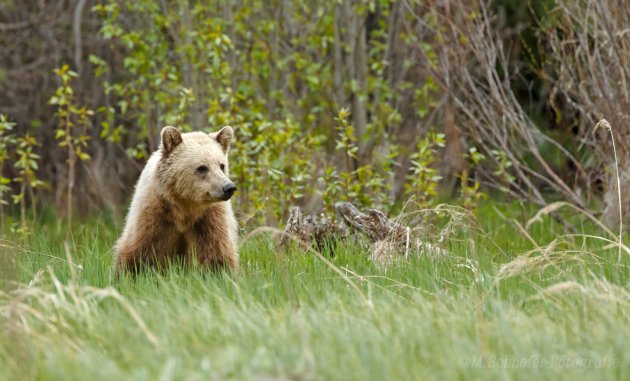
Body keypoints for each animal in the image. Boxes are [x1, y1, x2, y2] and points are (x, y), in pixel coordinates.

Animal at [113, 126, 239, 274]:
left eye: (222, 165)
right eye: (202, 168)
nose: (229, 187)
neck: (184, 205)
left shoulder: (210, 217)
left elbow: (217, 250)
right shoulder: (154, 211)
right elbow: (140, 249)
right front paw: (131, 272)